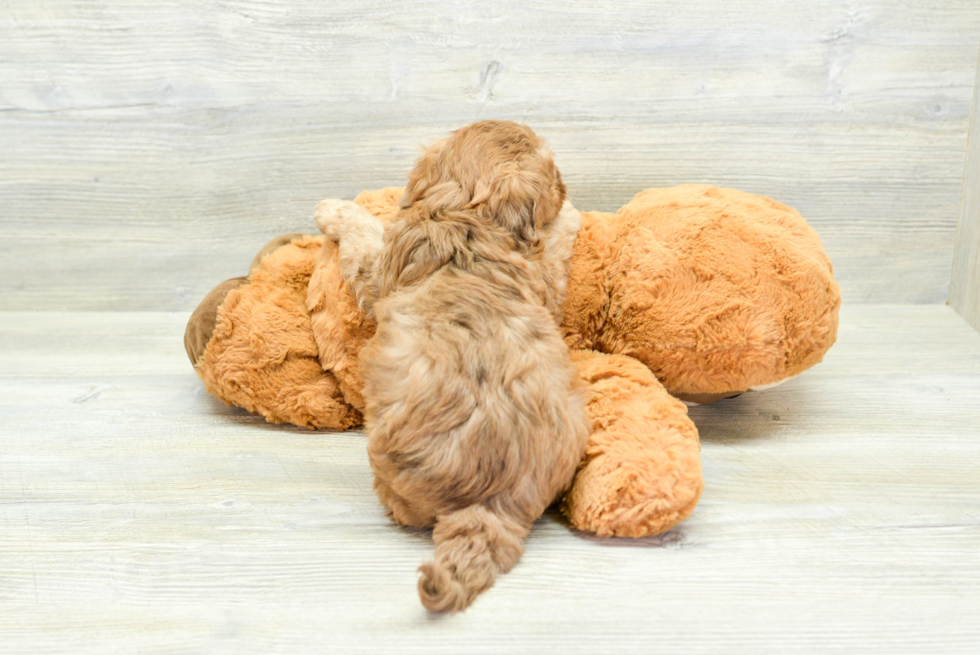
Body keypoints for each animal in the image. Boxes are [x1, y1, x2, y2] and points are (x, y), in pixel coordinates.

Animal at [318, 120, 584, 612]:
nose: (566, 188)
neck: (467, 215)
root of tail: (491, 502)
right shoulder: (543, 281)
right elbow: (554, 251)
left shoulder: (378, 270)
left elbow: (363, 233)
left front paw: (331, 210)